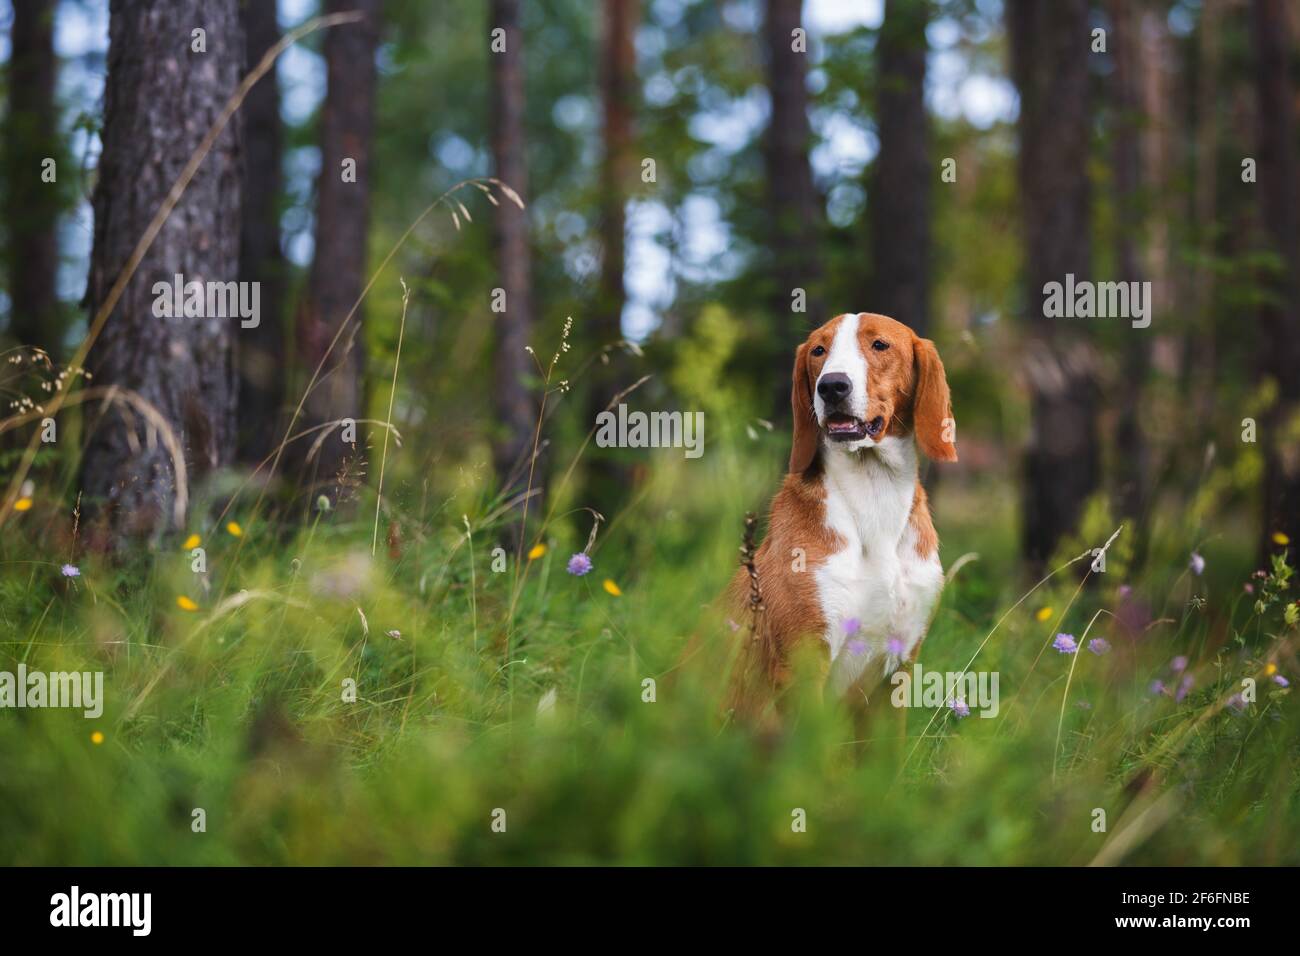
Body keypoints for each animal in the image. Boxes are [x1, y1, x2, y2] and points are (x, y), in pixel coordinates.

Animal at [728, 312, 961, 712]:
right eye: (819, 351)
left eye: (880, 345)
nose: (832, 386)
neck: (874, 492)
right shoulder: (805, 664)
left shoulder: (898, 672)